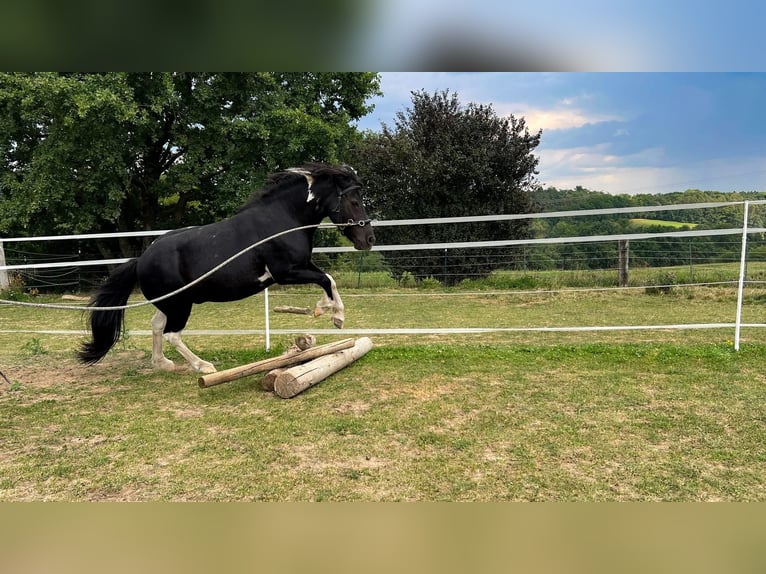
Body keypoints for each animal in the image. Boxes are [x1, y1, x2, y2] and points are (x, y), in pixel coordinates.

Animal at [77, 163, 375, 373]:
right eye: (354, 201)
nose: (369, 239)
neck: (282, 220)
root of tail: (141, 260)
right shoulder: (285, 272)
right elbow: (326, 279)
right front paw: (334, 315)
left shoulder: (301, 265)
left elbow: (328, 278)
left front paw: (326, 310)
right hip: (180, 305)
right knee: (172, 334)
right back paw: (203, 366)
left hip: (172, 302)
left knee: (156, 325)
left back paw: (162, 364)